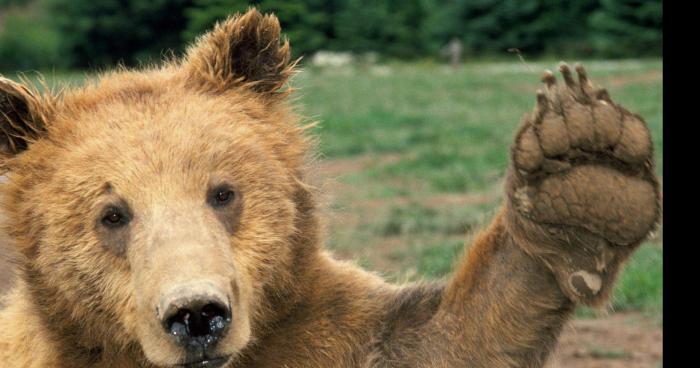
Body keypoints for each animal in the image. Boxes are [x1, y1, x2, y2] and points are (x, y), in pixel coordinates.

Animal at [0, 6, 660, 368]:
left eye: (223, 192)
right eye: (112, 213)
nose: (197, 315)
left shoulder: (319, 327)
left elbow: (447, 340)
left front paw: (585, 175)